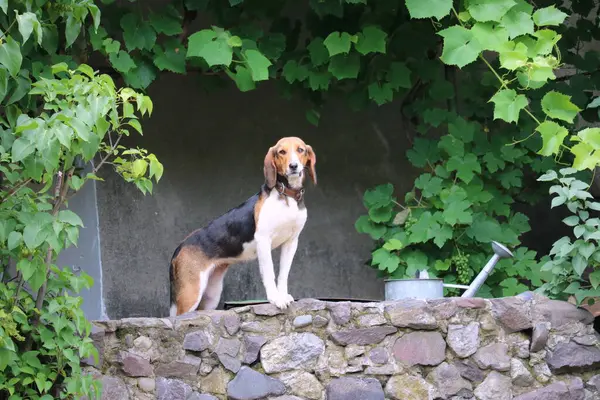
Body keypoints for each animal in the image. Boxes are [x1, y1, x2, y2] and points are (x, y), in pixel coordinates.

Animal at [169, 138, 316, 316]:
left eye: (300, 150)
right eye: (282, 152)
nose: (293, 166)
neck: (286, 195)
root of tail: (180, 247)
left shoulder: (291, 242)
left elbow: (283, 274)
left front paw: (283, 295)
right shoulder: (263, 240)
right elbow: (269, 273)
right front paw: (275, 298)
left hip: (212, 294)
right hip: (191, 294)